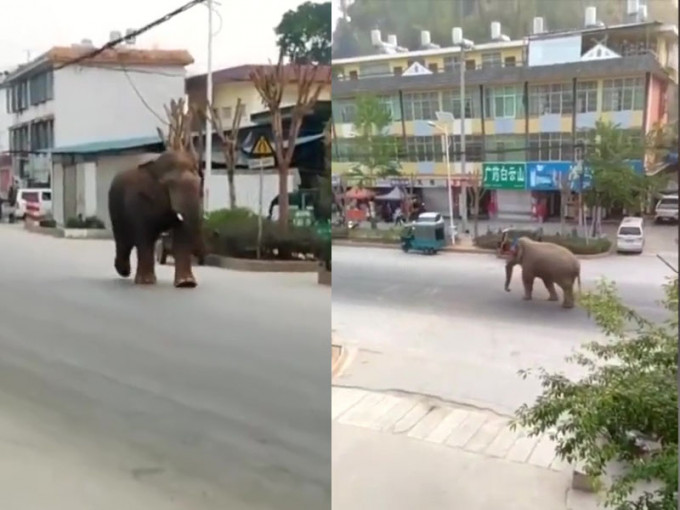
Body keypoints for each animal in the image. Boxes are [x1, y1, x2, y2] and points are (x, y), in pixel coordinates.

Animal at [108, 149, 202, 288]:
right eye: (169, 184)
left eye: (199, 182)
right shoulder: (140, 200)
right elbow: (144, 235)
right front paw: (146, 282)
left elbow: (182, 234)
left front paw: (186, 283)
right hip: (115, 207)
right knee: (123, 239)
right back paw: (124, 271)